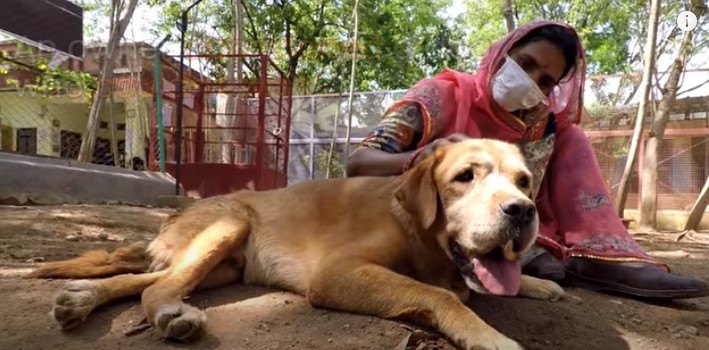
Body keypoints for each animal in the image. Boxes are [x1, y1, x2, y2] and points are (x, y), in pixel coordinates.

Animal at [30, 139, 564, 350]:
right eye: (464, 177)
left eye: (524, 181)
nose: (522, 211)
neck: (417, 228)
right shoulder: (337, 273)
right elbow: (442, 295)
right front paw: (488, 336)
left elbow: (484, 285)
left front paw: (540, 284)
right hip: (228, 226)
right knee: (154, 289)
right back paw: (170, 315)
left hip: (223, 264)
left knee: (139, 279)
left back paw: (81, 300)